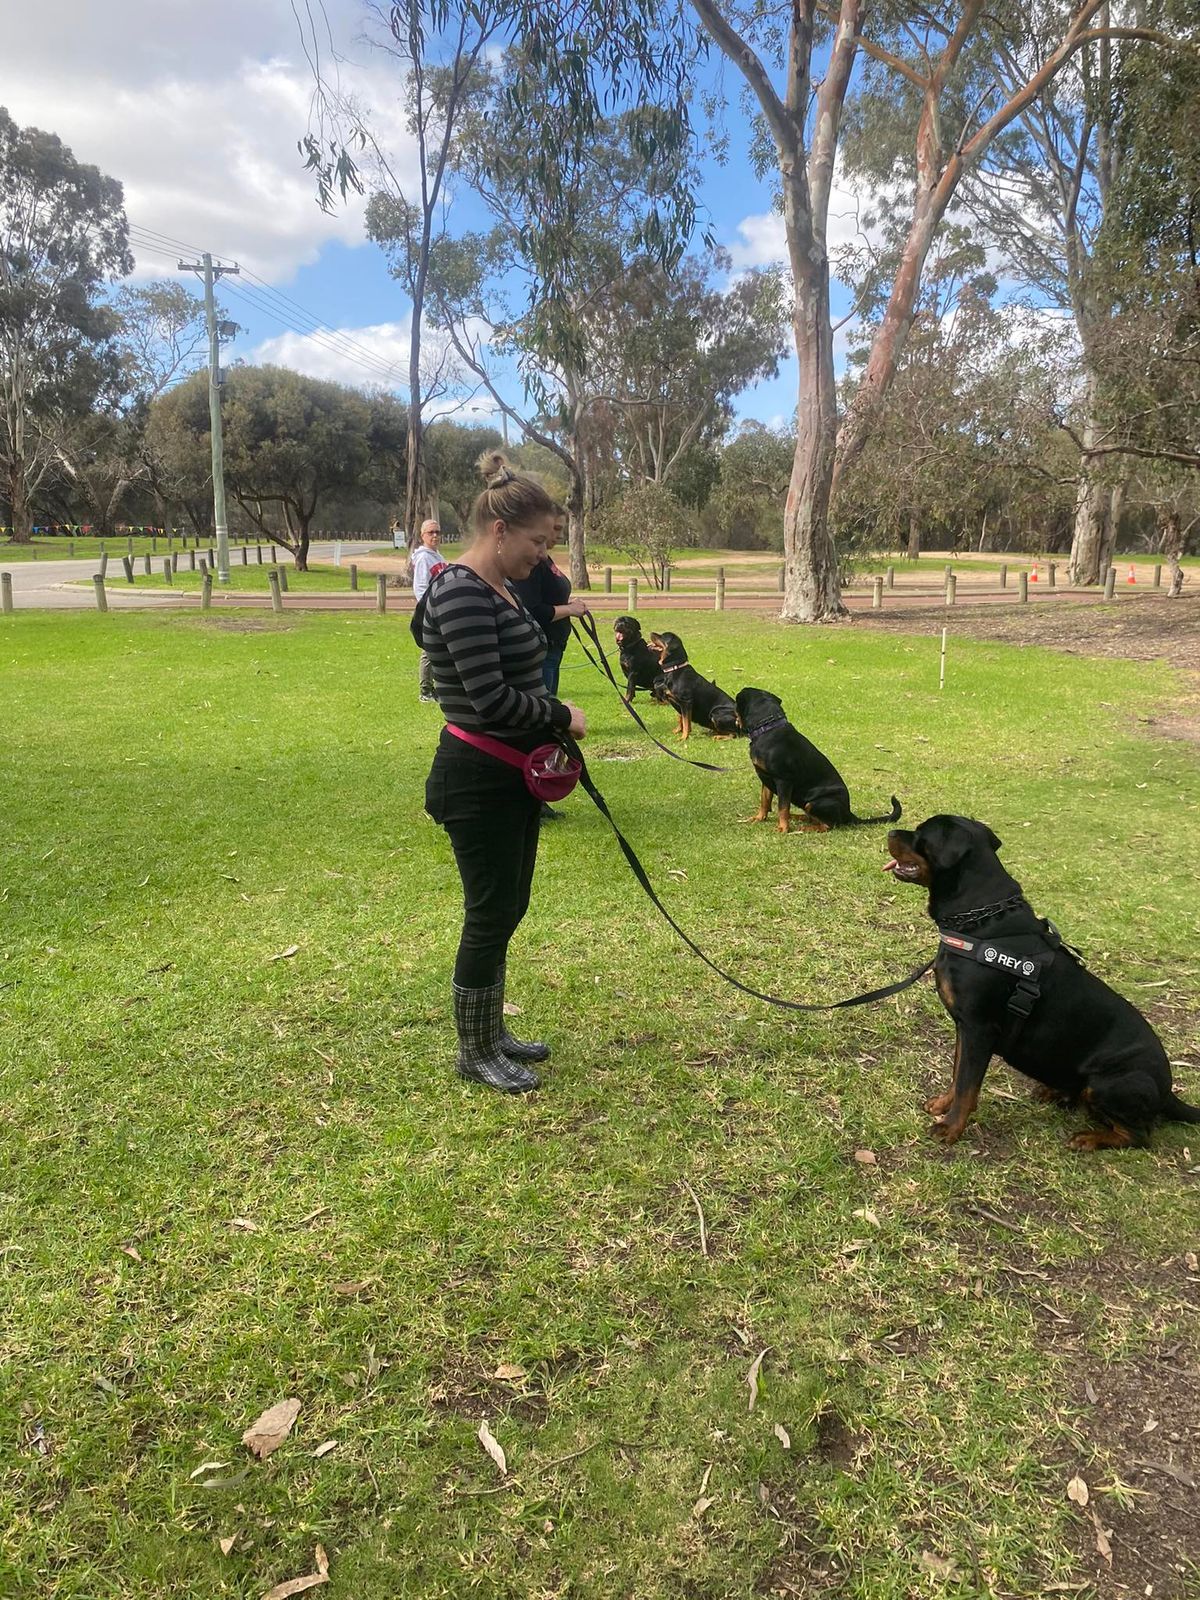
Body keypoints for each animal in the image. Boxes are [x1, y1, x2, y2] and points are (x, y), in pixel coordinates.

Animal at [739, 688, 908, 838]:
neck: (768, 728)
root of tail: (848, 812)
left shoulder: (784, 781)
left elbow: (782, 807)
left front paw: (782, 828)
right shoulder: (766, 778)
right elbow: (764, 800)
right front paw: (759, 818)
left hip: (816, 802)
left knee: (828, 825)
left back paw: (805, 827)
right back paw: (797, 817)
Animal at [889, 812, 1196, 1152]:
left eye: (921, 834)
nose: (891, 832)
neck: (978, 924)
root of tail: (1168, 1091)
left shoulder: (979, 1028)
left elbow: (968, 1085)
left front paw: (950, 1128)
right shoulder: (964, 1028)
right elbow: (958, 1075)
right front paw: (943, 1105)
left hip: (1110, 1082)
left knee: (1139, 1135)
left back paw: (1088, 1137)